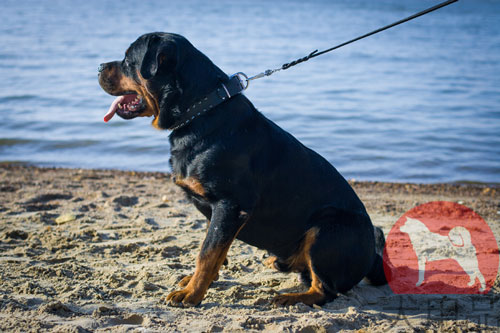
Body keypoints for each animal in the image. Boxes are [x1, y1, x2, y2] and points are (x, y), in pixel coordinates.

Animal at [97, 33, 386, 306]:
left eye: (127, 60)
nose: (99, 65)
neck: (201, 110)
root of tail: (373, 257)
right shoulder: (216, 210)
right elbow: (212, 248)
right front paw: (198, 282)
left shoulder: (231, 205)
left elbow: (207, 253)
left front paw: (191, 295)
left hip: (327, 228)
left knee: (325, 289)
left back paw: (292, 298)